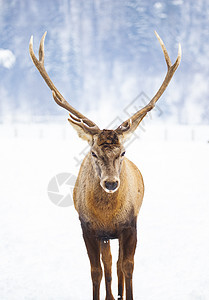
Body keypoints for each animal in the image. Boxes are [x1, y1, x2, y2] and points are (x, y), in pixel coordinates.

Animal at [29, 32, 181, 300]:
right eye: (93, 152)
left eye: (123, 152)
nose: (110, 183)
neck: (108, 216)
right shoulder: (88, 228)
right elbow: (97, 271)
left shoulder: (130, 224)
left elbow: (128, 267)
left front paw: (127, 294)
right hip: (105, 237)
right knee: (109, 264)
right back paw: (112, 293)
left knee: (118, 264)